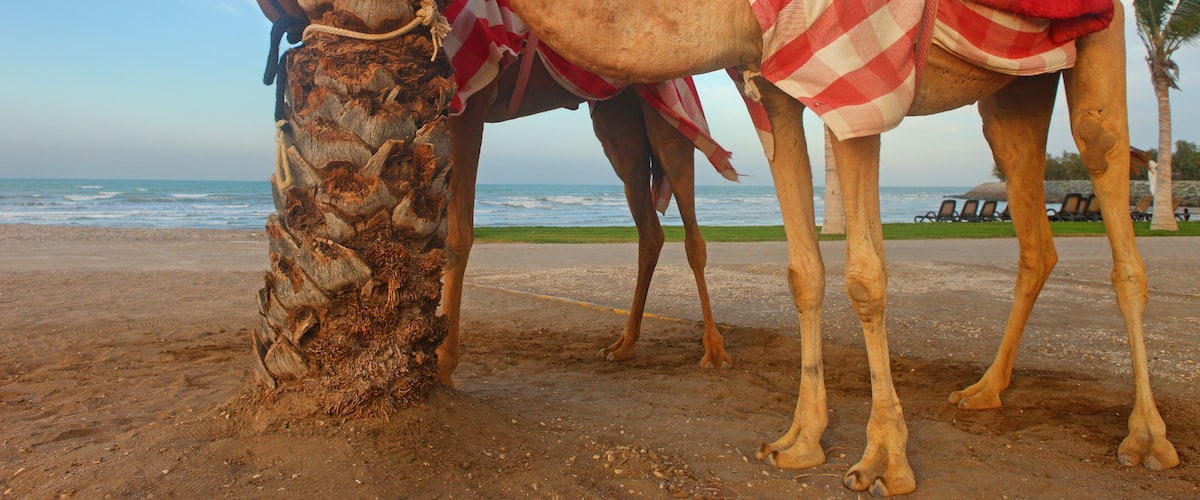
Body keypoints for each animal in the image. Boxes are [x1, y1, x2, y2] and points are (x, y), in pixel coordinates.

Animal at [437, 46, 735, 386]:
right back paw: (623, 345)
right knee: (649, 229)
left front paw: (443, 365)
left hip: (667, 111)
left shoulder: (469, 95)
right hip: (617, 123)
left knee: (692, 233)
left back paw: (714, 350)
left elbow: (458, 234)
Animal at [507, 0, 1179, 495]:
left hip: (1101, 39)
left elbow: (864, 276)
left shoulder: (859, 80)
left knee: (1105, 163)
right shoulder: (772, 81)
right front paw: (799, 441)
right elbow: (804, 270)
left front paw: (883, 461)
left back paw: (1147, 440)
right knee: (1032, 223)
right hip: (1016, 86)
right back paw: (983, 391)